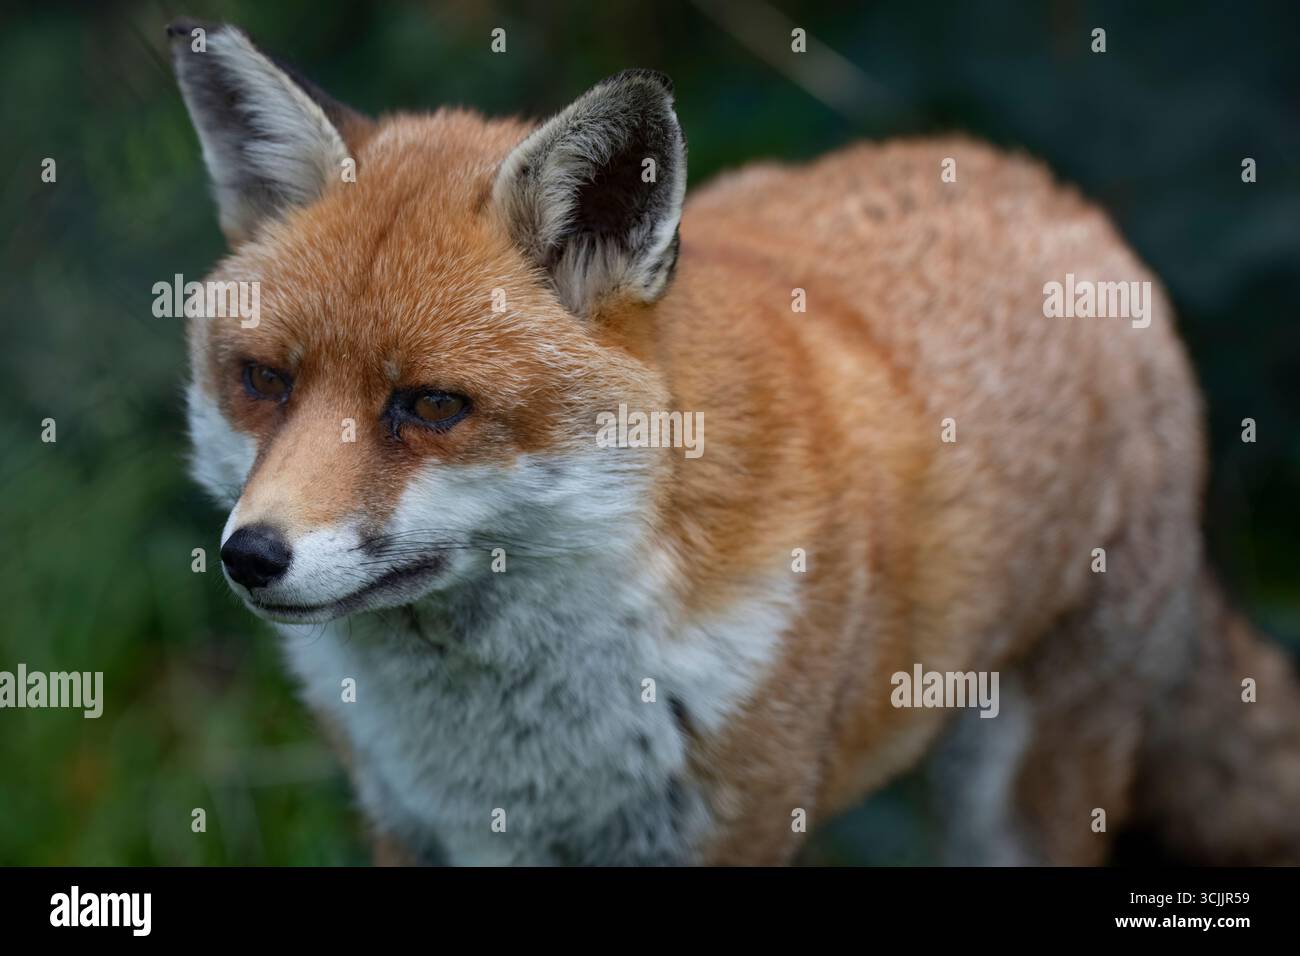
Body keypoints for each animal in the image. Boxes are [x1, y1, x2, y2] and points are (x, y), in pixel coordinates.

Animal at [169, 20, 1300, 866]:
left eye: (431, 406)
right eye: (265, 382)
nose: (252, 555)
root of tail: (1053, 196)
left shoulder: (734, 827)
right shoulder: (416, 826)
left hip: (1024, 783)